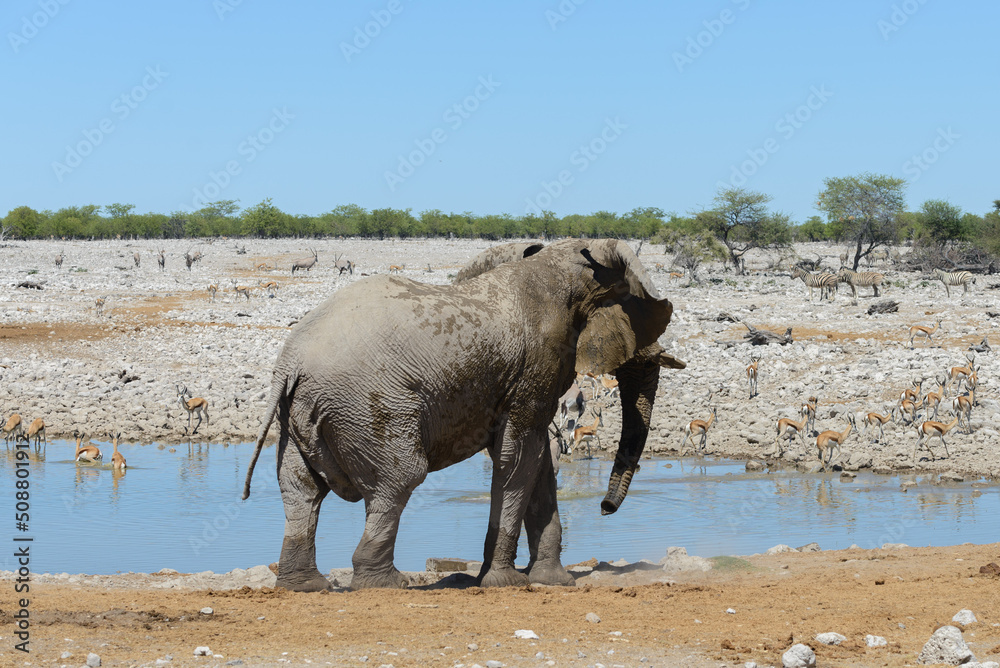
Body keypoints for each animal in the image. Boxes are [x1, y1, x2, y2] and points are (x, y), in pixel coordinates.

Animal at [242, 238, 685, 591]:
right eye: (641, 316)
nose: (604, 509)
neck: (559, 262)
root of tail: (290, 362)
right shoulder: (537, 366)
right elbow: (518, 459)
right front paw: (505, 582)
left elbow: (538, 462)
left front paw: (552, 581)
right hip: (368, 406)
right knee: (400, 479)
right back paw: (386, 583)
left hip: (299, 413)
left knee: (301, 490)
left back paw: (305, 586)